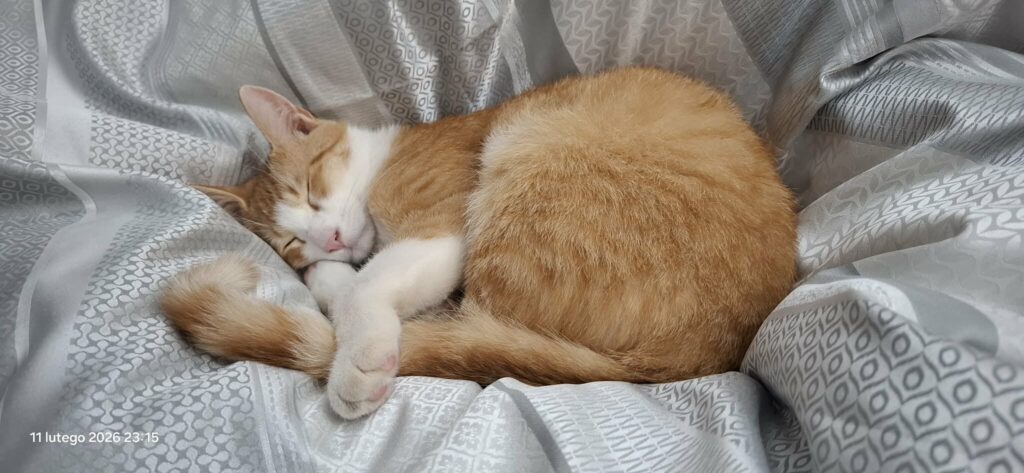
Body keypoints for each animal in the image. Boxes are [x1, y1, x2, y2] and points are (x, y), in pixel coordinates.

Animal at [161, 66, 797, 419]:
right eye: (290, 242)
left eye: (313, 189)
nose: (331, 239)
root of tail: (696, 355)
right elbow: (347, 284)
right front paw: (331, 281)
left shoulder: (440, 232)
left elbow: (367, 288)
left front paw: (356, 355)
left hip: (529, 161)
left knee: (465, 328)